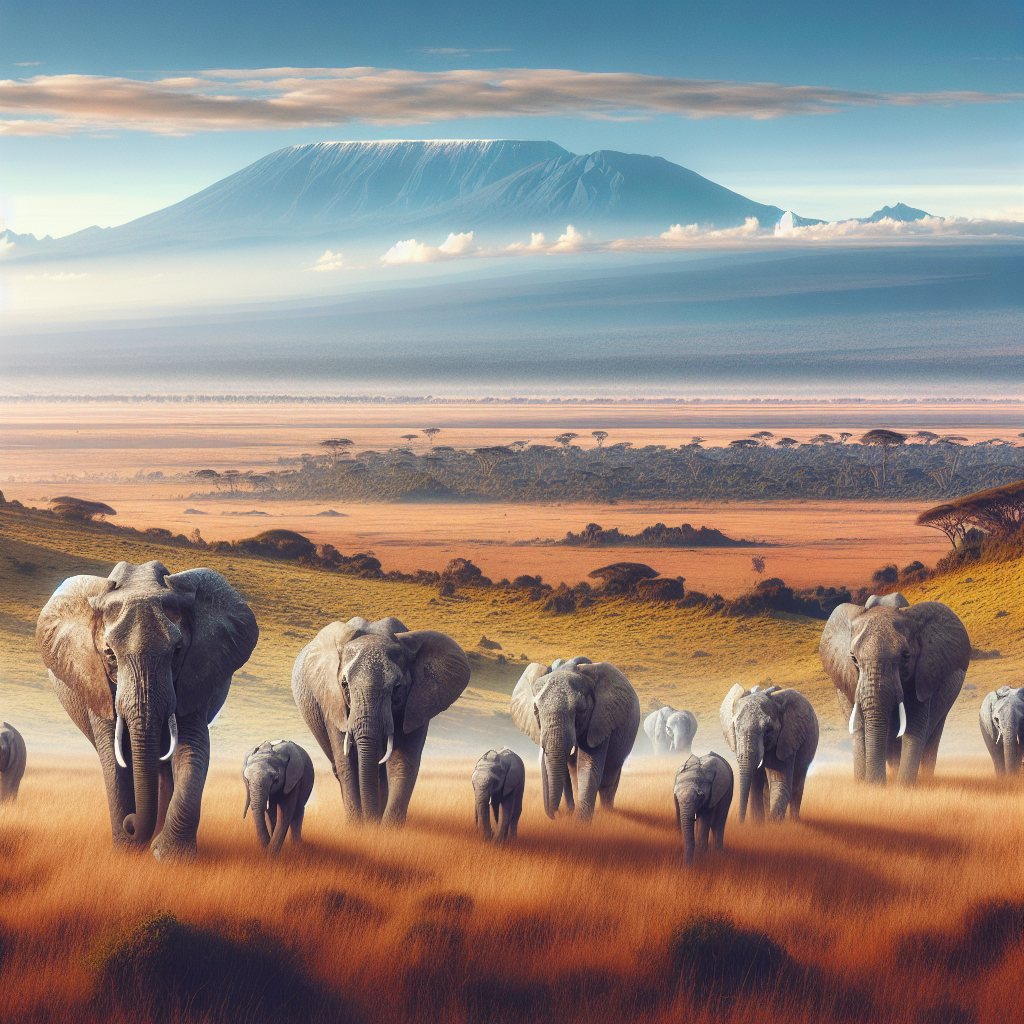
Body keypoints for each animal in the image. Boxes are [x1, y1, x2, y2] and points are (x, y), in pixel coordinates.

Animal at [36, 561, 260, 856]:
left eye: (177, 651)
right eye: (109, 654)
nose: (131, 825)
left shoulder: (195, 677)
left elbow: (192, 747)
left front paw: (169, 857)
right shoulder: (94, 680)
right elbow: (112, 756)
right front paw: (126, 852)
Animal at [292, 614, 471, 823]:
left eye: (397, 688)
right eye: (344, 684)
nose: (370, 822)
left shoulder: (418, 702)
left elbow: (402, 761)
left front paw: (387, 828)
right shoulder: (332, 700)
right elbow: (347, 762)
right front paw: (358, 826)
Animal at [509, 655, 638, 823]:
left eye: (580, 711)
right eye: (536, 711)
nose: (554, 815)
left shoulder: (600, 720)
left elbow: (588, 765)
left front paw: (581, 825)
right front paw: (570, 815)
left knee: (609, 780)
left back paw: (608, 812)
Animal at [720, 684, 815, 819]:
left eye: (768, 729)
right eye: (735, 727)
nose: (741, 821)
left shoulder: (786, 739)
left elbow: (779, 783)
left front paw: (772, 822)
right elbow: (755, 787)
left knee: (798, 780)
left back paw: (794, 820)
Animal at [819, 593, 970, 782]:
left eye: (906, 656)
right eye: (853, 658)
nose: (877, 784)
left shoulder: (923, 677)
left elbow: (914, 730)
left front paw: (902, 787)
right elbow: (859, 730)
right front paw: (864, 785)